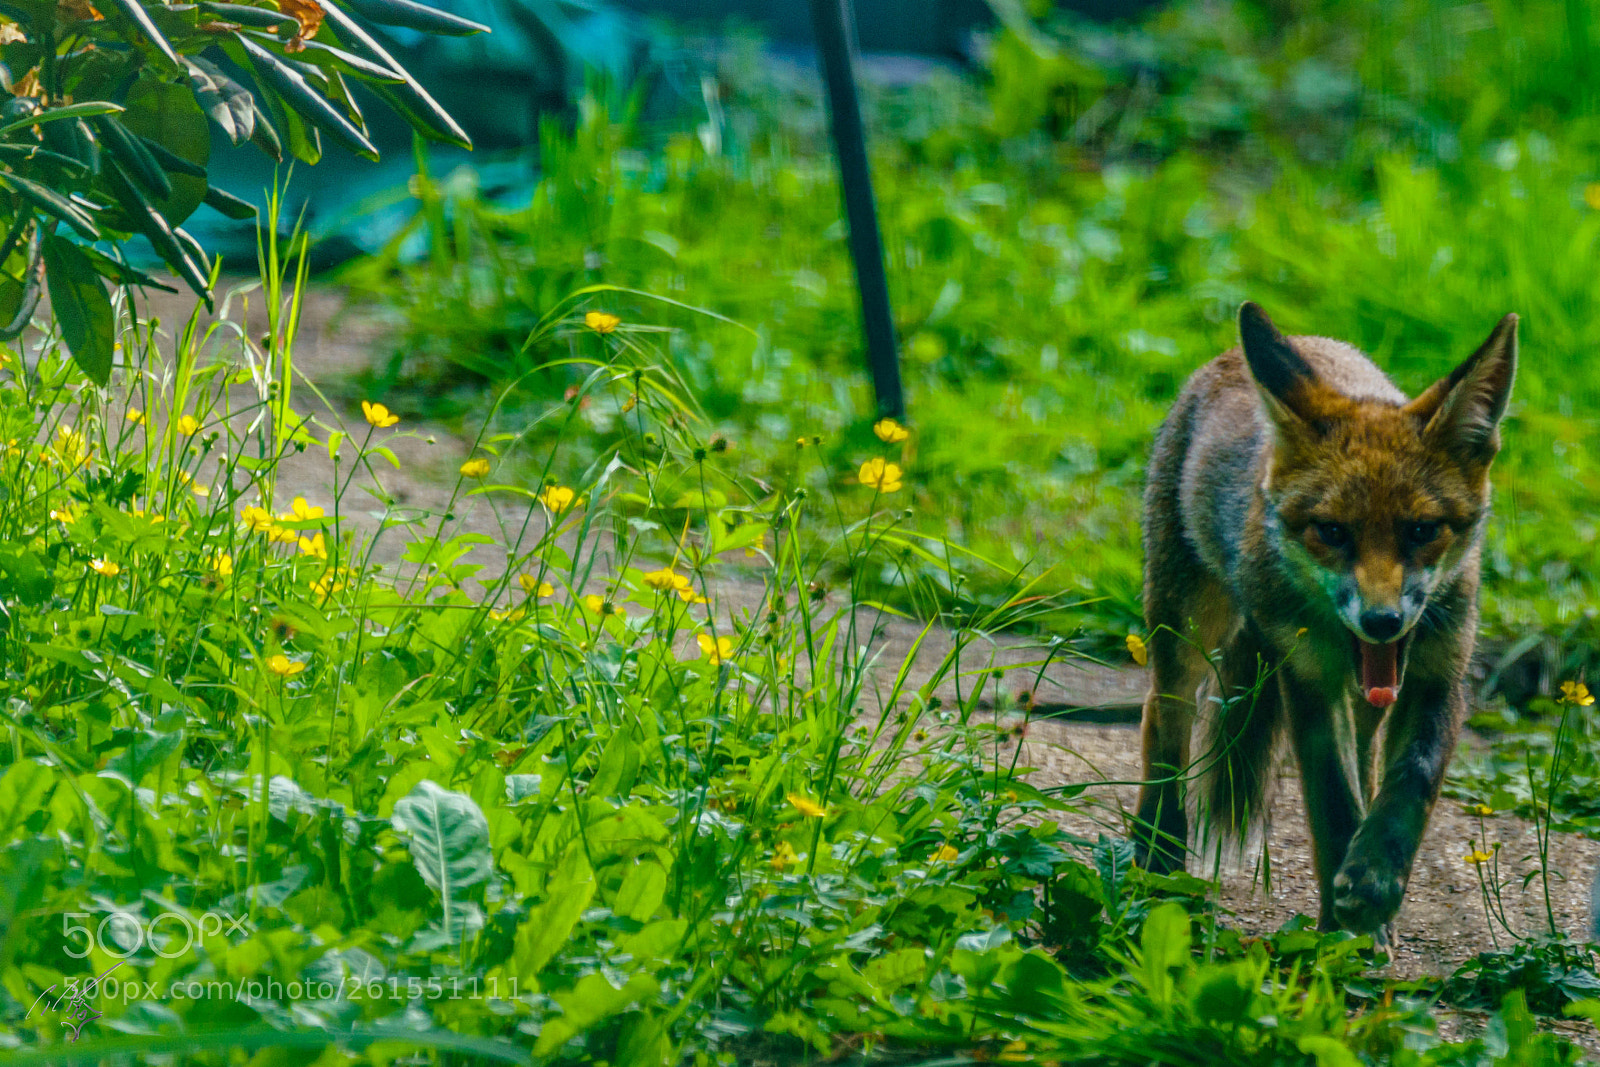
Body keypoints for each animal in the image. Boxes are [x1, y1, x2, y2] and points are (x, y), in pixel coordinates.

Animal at [1133, 301, 1517, 940]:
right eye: (1333, 532)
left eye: (1421, 530)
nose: (1383, 621)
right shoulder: (1306, 677)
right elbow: (1332, 801)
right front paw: (1343, 928)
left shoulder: (1439, 673)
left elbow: (1410, 781)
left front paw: (1373, 880)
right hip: (1187, 630)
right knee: (1161, 720)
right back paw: (1157, 858)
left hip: (1363, 701)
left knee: (1367, 766)